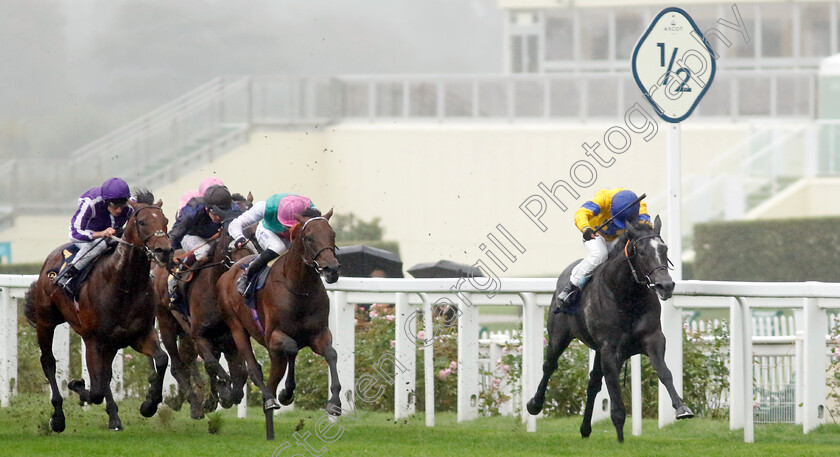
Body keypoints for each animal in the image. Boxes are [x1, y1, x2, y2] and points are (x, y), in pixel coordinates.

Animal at [23, 190, 171, 432]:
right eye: (142, 222)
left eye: (165, 221)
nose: (164, 251)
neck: (124, 285)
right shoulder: (94, 340)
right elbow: (96, 391)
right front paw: (76, 384)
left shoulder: (140, 334)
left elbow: (161, 359)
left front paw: (149, 404)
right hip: (46, 322)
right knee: (48, 362)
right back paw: (58, 417)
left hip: (111, 344)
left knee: (105, 374)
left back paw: (114, 418)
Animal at [152, 192, 254, 416]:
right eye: (231, 237)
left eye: (255, 233)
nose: (247, 264)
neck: (214, 291)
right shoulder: (200, 335)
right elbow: (212, 366)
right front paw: (219, 395)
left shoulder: (230, 339)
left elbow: (240, 375)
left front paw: (219, 398)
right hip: (167, 323)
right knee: (178, 365)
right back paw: (194, 404)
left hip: (186, 333)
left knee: (188, 360)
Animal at [217, 207, 342, 434]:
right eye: (309, 237)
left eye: (332, 234)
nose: (332, 269)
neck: (300, 289)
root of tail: (229, 271)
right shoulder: (273, 336)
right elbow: (292, 348)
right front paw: (286, 393)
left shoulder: (319, 335)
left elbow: (331, 354)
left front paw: (334, 403)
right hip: (237, 328)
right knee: (254, 367)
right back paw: (269, 398)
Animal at [524, 217, 696, 442]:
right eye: (641, 252)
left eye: (664, 249)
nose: (665, 285)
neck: (626, 296)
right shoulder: (610, 349)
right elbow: (614, 389)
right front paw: (620, 437)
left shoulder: (653, 339)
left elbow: (664, 372)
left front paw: (682, 408)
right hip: (559, 335)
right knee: (549, 366)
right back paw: (534, 404)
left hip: (597, 350)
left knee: (593, 383)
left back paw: (585, 429)